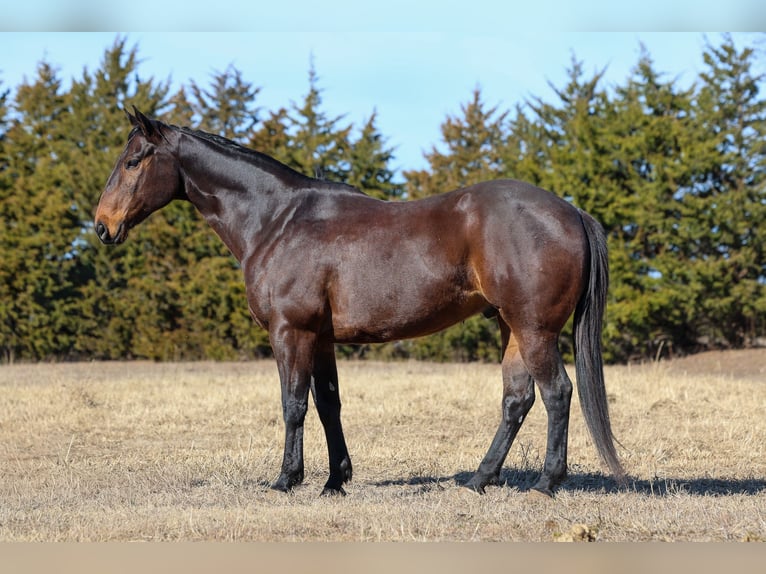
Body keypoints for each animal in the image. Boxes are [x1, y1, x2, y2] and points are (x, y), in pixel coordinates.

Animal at [95, 108, 625, 497]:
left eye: (134, 161)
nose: (102, 225)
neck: (278, 220)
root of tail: (570, 211)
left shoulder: (291, 331)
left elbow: (292, 404)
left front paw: (286, 479)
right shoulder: (321, 338)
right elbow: (328, 404)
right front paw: (335, 480)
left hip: (534, 330)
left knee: (557, 393)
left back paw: (546, 483)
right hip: (509, 327)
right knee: (517, 399)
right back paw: (480, 479)